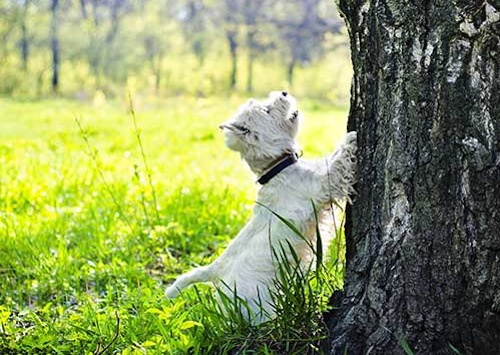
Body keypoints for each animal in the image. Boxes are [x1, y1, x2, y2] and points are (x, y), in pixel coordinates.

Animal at [166, 92, 358, 326]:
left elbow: (330, 159)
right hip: (256, 307)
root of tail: (217, 270)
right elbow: (338, 163)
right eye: (267, 110)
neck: (277, 168)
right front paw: (351, 138)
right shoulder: (322, 184)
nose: (283, 92)